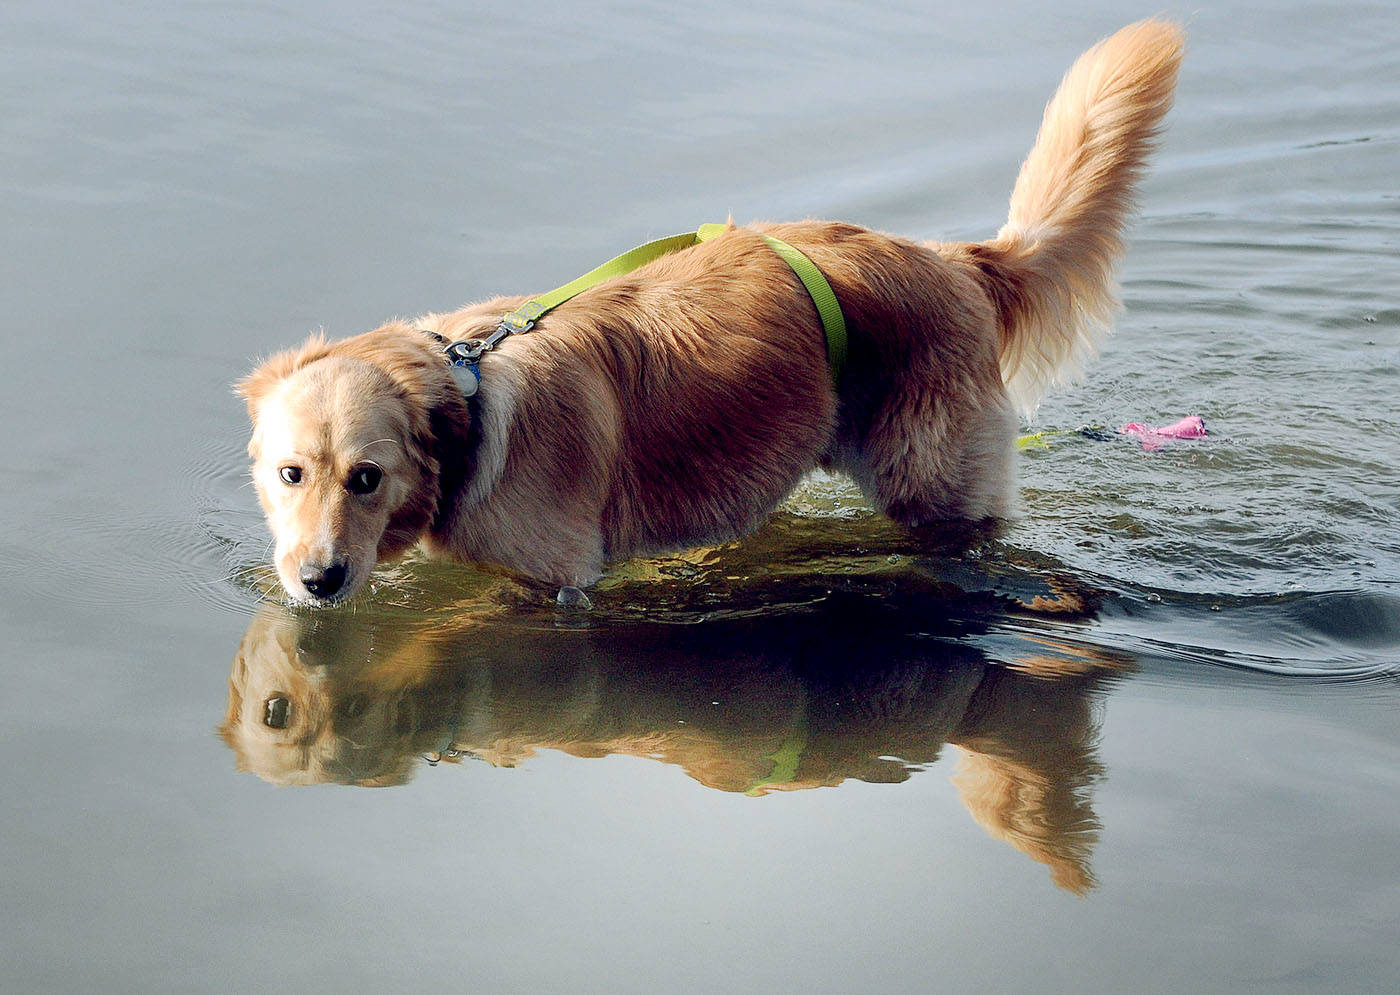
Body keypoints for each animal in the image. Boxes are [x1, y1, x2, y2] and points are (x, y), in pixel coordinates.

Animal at [238, 19, 1181, 604]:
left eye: (366, 477)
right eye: (292, 474)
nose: (317, 581)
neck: (467, 403)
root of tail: (959, 262)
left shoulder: (562, 583)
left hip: (934, 486)